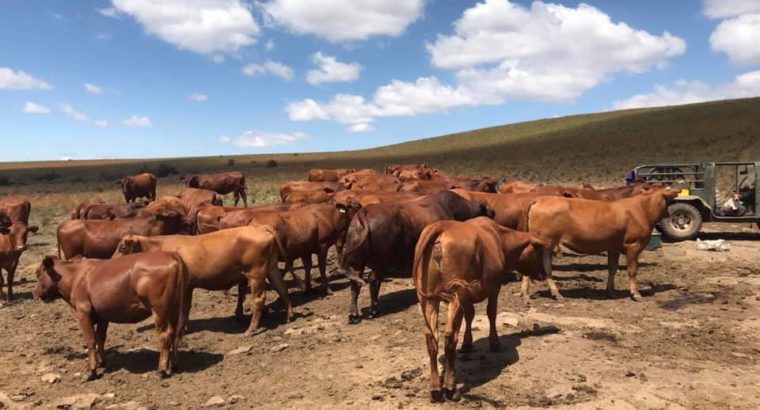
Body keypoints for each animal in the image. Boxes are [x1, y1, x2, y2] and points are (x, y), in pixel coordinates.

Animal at [33, 252, 188, 380]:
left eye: (38, 273)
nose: (35, 293)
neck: (76, 276)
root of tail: (169, 254)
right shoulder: (103, 315)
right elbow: (100, 338)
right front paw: (101, 362)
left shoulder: (83, 312)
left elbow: (91, 341)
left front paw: (90, 371)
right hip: (173, 310)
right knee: (174, 334)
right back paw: (172, 367)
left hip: (159, 310)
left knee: (165, 336)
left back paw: (160, 371)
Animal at [114, 226, 291, 336]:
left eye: (122, 247)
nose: (112, 261)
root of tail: (261, 228)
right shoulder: (189, 286)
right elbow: (186, 308)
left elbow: (182, 309)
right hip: (271, 268)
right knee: (282, 287)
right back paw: (289, 316)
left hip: (256, 273)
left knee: (259, 299)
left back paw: (250, 330)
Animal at [341, 191, 494, 323]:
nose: (492, 215)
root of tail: (365, 211)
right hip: (380, 261)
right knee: (374, 281)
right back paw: (373, 310)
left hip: (357, 261)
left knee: (355, 283)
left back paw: (353, 315)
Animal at [413, 217, 548, 402]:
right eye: (539, 252)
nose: (543, 274)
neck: (500, 239)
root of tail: (442, 226)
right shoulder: (494, 287)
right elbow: (491, 313)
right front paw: (495, 342)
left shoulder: (467, 298)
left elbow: (470, 315)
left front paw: (467, 343)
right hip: (456, 294)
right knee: (450, 336)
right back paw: (450, 388)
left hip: (429, 298)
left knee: (431, 336)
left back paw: (435, 388)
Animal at [526, 188, 679, 301]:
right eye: (669, 200)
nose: (670, 214)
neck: (642, 209)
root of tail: (540, 200)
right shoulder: (633, 245)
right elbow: (632, 270)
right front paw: (636, 294)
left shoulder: (613, 248)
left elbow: (612, 269)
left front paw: (611, 291)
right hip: (544, 242)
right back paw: (527, 293)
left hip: (547, 245)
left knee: (546, 267)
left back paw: (554, 293)